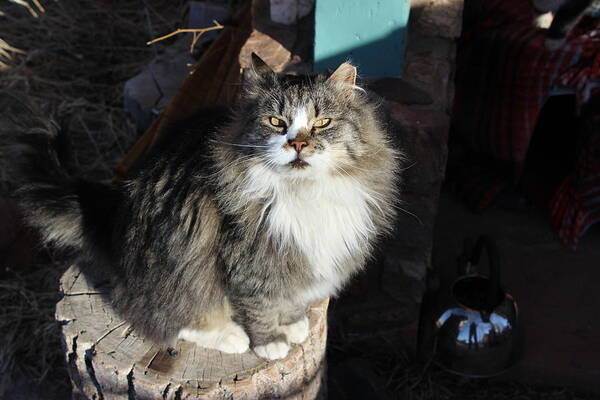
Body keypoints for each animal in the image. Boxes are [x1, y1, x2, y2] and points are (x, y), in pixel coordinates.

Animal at [10, 53, 404, 360]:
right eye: (276, 122)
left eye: (322, 123)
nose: (298, 145)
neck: (302, 192)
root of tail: (114, 209)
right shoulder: (250, 262)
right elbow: (260, 307)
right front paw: (270, 342)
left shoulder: (294, 258)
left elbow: (291, 299)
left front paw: (293, 324)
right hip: (174, 272)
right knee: (164, 319)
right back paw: (230, 336)